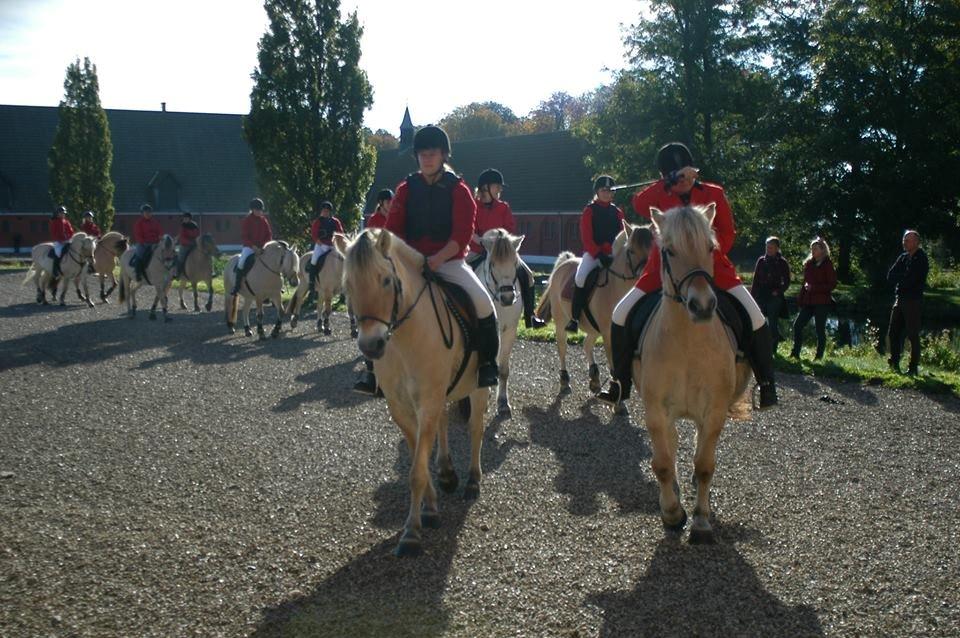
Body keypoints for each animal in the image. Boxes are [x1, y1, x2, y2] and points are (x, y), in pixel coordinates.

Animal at [344, 231, 492, 560]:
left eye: (387, 280)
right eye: (347, 285)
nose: (371, 346)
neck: (403, 340)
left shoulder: (427, 401)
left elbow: (416, 472)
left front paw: (411, 534)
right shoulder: (400, 407)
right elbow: (418, 461)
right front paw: (430, 508)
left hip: (477, 388)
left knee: (476, 428)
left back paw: (472, 480)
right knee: (443, 423)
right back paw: (447, 471)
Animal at [474, 228, 524, 418]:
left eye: (515, 262)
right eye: (493, 264)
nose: (508, 297)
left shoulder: (509, 330)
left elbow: (503, 369)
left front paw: (502, 402)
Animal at [536, 224, 648, 416]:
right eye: (631, 251)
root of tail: (565, 263)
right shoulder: (609, 335)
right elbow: (614, 365)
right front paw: (618, 401)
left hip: (593, 328)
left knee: (587, 344)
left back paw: (594, 378)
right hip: (561, 323)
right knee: (562, 347)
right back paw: (565, 380)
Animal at [636, 205, 752, 544]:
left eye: (711, 248)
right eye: (669, 250)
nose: (702, 305)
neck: (687, 342)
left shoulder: (714, 412)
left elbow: (704, 466)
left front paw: (701, 521)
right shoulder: (655, 411)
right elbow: (662, 464)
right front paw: (672, 513)